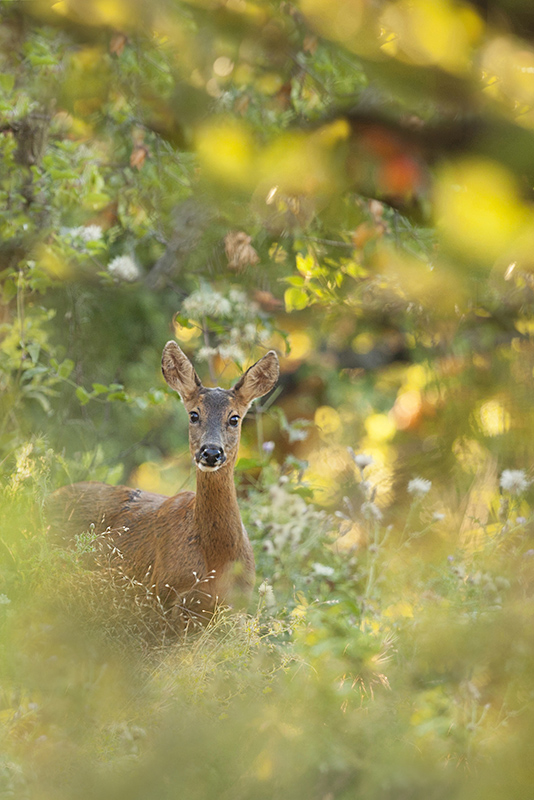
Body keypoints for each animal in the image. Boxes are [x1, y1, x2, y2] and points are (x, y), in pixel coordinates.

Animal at [47, 344, 280, 632]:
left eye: (234, 418)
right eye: (194, 414)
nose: (211, 452)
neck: (217, 561)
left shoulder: (237, 606)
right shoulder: (164, 592)